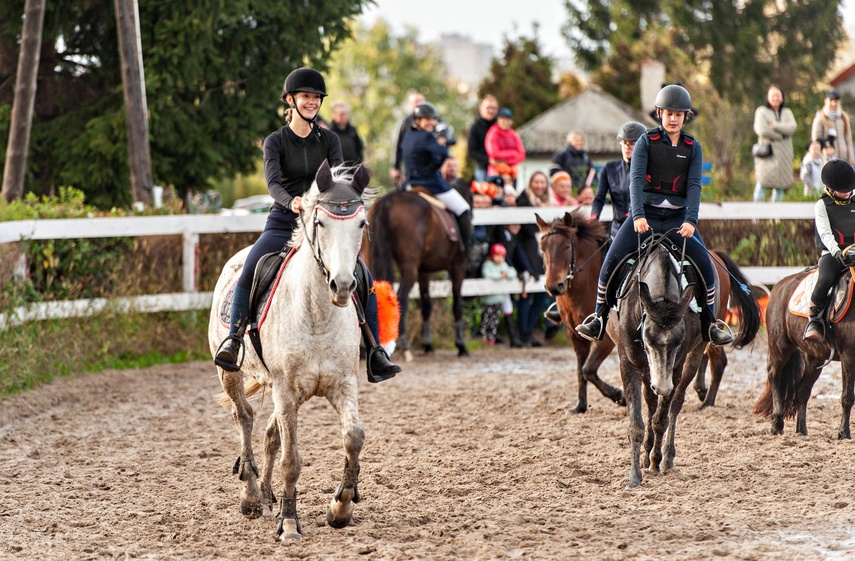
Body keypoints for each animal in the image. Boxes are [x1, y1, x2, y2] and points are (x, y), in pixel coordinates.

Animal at [211, 161, 372, 540]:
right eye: (320, 222)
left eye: (361, 223)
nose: (343, 286)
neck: (317, 315)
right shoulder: (286, 390)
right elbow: (292, 460)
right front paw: (288, 524)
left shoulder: (343, 384)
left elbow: (353, 438)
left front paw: (340, 507)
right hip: (231, 374)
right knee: (244, 418)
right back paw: (252, 497)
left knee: (270, 435)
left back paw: (268, 497)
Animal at [362, 188, 468, 360]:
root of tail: (387, 201)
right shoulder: (458, 267)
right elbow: (457, 303)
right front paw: (461, 346)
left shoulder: (423, 272)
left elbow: (426, 305)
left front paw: (428, 345)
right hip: (409, 268)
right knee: (401, 298)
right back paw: (404, 346)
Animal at [540, 210, 760, 412]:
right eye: (542, 249)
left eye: (567, 247)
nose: (554, 286)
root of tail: (716, 256)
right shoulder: (576, 334)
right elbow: (581, 370)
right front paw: (580, 405)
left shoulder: (607, 340)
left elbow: (588, 369)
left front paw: (619, 396)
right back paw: (701, 392)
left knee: (718, 360)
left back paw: (706, 402)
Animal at [752, 270, 852, 440]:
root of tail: (780, 286)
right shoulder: (848, 356)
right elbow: (847, 397)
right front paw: (843, 433)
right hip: (780, 347)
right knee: (774, 376)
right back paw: (777, 423)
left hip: (815, 357)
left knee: (802, 391)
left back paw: (801, 430)